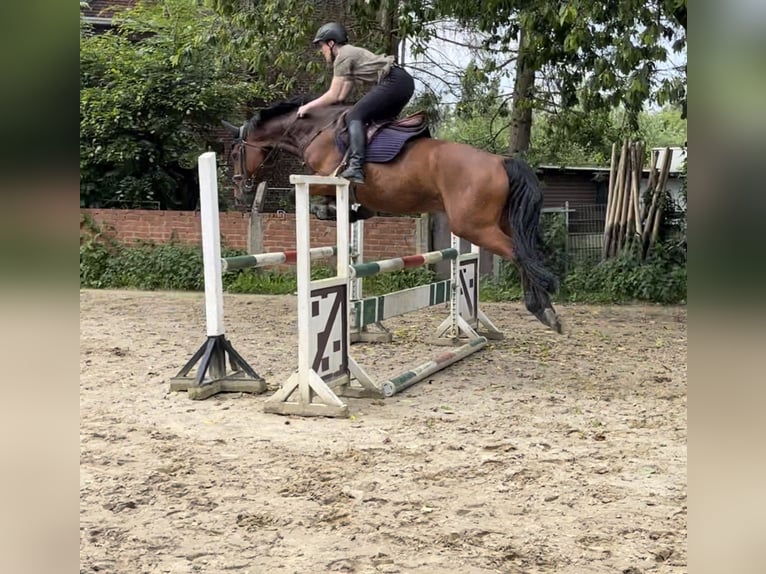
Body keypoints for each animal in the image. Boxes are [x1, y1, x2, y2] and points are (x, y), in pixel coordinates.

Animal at [222, 97, 564, 336]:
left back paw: (543, 309)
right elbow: (357, 209)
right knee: (524, 252)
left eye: (234, 153)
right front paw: (346, 213)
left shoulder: (327, 178)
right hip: (497, 221)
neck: (318, 131)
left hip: (472, 225)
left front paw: (329, 210)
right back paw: (545, 311)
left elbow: (307, 199)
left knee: (518, 253)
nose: (239, 193)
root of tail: (501, 161)